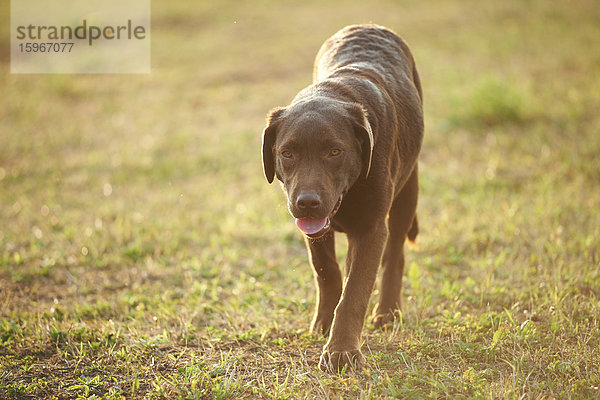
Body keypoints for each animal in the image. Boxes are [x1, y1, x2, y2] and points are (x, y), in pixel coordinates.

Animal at [262, 25, 422, 372]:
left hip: (408, 190)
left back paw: (388, 312)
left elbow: (355, 292)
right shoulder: (314, 230)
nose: (307, 201)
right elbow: (327, 271)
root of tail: (369, 25)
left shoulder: (371, 227)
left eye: (334, 152)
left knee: (395, 252)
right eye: (287, 153)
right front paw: (324, 323)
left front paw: (341, 351)